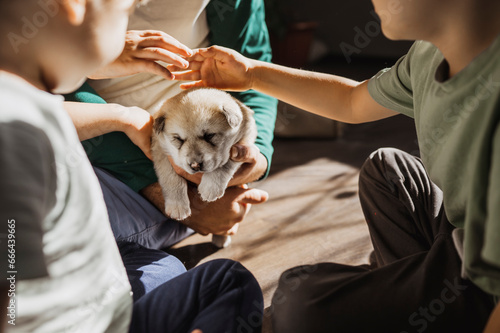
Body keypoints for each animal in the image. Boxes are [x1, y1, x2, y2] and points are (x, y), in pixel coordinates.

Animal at [150, 89, 256, 246]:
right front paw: (177, 206)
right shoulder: (160, 150)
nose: (195, 165)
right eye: (178, 139)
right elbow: (170, 177)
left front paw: (210, 188)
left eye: (209, 136)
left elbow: (224, 165)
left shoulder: (241, 143)